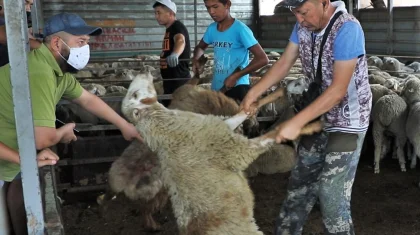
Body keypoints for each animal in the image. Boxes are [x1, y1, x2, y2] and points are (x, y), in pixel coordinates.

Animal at [120, 72, 324, 234]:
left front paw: (276, 93)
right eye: (135, 94)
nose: (144, 73)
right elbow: (271, 134)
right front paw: (311, 126)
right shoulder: (237, 148)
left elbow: (245, 111)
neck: (168, 131)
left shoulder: (221, 125)